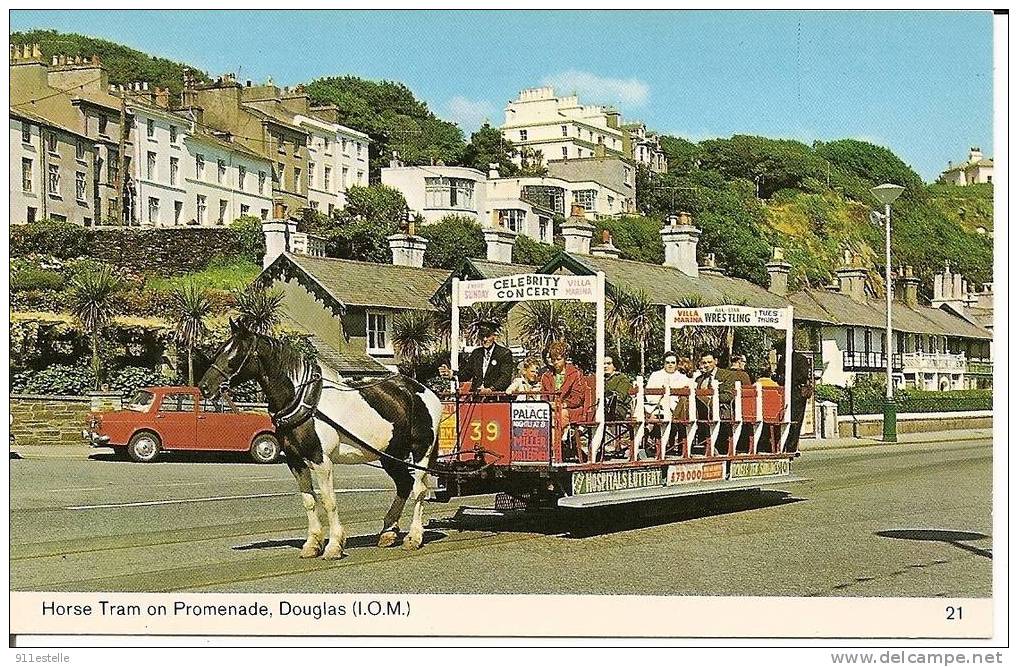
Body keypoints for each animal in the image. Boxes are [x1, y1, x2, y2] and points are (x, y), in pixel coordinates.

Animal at [200, 321, 443, 562]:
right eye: (219, 350)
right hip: (391, 454)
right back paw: (388, 532)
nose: (204, 387)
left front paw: (334, 545)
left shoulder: (321, 460)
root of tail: (424, 391)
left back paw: (414, 537)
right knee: (404, 484)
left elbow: (328, 501)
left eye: (234, 356)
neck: (305, 402)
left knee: (419, 489)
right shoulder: (295, 461)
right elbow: (309, 501)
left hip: (421, 451)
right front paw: (312, 544)